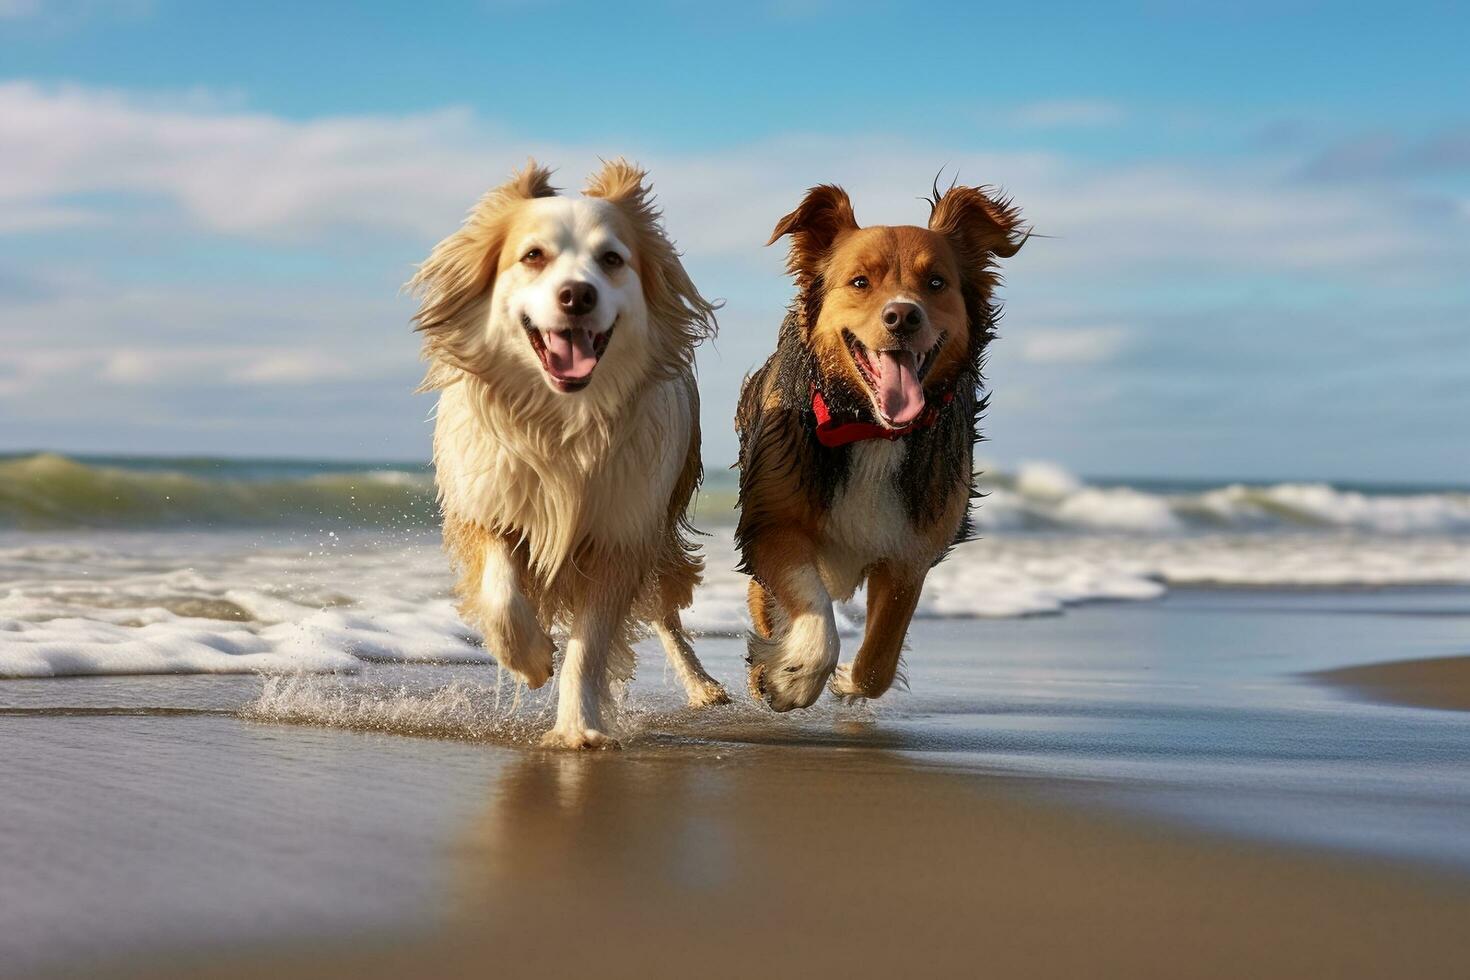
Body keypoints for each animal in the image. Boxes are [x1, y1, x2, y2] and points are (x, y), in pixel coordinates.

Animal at [408, 160, 729, 746]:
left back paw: (702, 685)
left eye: (612, 259)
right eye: (533, 255)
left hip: (661, 529)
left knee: (665, 612)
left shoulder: (620, 533)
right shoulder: (488, 505)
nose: (577, 295)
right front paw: (533, 660)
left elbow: (591, 646)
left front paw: (578, 727)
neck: (562, 422)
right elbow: (502, 596)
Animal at [735, 179, 1023, 708]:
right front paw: (792, 676)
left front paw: (845, 677)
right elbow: (810, 609)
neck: (872, 429)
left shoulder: (912, 548)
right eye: (859, 283)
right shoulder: (773, 520)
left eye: (936, 283)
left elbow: (880, 659)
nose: (902, 316)